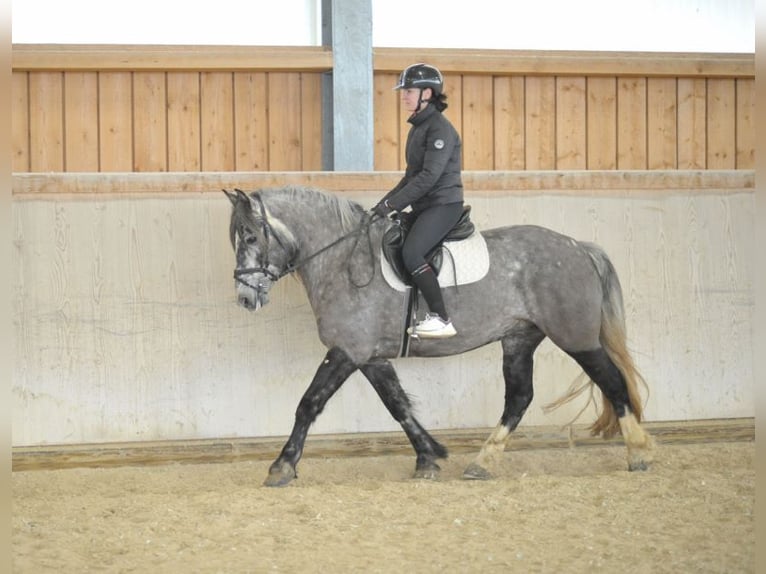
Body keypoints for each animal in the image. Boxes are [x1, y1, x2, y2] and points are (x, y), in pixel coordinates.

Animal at [225, 187, 656, 488]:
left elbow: (308, 404)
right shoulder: (370, 357)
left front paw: (281, 467)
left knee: (613, 383)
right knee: (519, 398)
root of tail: (578, 247)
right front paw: (428, 458)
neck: (342, 262)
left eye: (250, 237)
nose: (246, 298)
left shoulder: (347, 351)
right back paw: (482, 462)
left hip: (575, 337)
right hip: (519, 338)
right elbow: (398, 406)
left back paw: (638, 453)